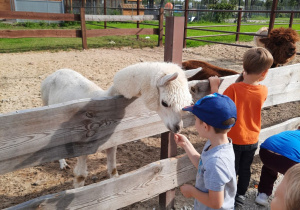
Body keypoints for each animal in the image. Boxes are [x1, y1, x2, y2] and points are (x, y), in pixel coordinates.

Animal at [39, 61, 199, 188]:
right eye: (164, 103)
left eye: (187, 103)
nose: (177, 127)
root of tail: (58, 71)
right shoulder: (84, 146)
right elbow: (80, 177)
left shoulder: (112, 142)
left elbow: (113, 171)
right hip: (47, 106)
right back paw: (62, 164)